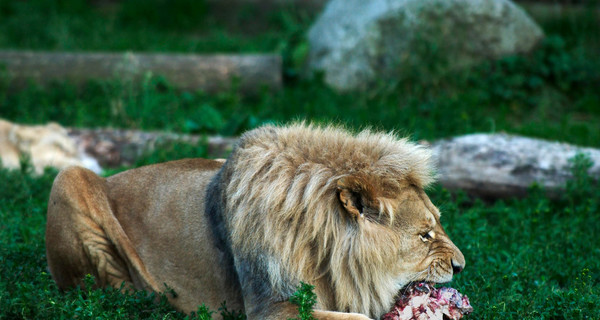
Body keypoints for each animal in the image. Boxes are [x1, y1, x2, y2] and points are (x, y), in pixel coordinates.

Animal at [48, 123, 468, 320]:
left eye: (437, 226)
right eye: (425, 235)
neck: (326, 252)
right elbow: (357, 319)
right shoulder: (270, 306)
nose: (461, 266)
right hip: (68, 177)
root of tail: (112, 177)